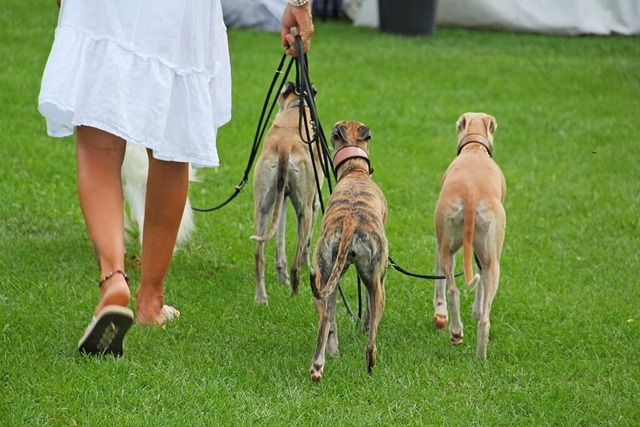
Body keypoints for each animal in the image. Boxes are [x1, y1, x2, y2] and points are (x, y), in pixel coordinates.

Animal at [249, 82, 322, 306]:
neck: (296, 106)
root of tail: (284, 145)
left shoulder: (281, 200)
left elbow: (279, 242)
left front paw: (282, 278)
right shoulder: (314, 203)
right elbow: (308, 244)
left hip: (263, 207)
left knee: (259, 255)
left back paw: (261, 298)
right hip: (304, 211)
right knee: (296, 263)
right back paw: (296, 294)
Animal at [308, 121, 388, 384]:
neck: (355, 172)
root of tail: (350, 222)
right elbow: (369, 315)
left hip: (324, 279)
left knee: (327, 320)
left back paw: (319, 366)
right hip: (378, 284)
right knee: (371, 341)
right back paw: (370, 366)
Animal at [432, 112, 508, 360]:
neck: (474, 149)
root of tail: (471, 192)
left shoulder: (444, 245)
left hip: (453, 247)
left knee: (456, 291)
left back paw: (465, 342)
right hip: (483, 257)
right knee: (468, 300)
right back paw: (470, 346)